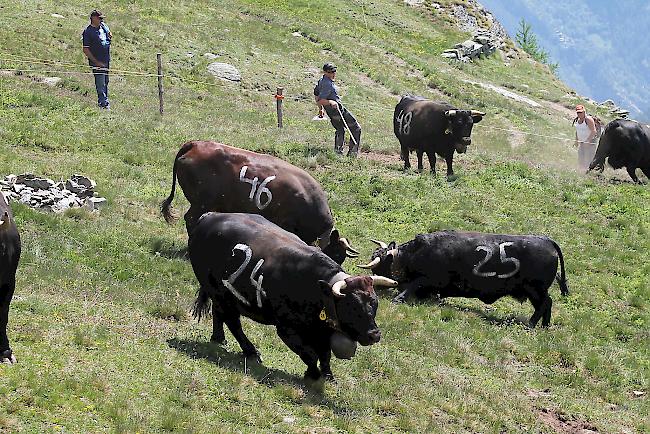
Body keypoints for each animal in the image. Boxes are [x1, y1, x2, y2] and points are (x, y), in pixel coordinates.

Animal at [187, 213, 398, 380]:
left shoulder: (322, 331)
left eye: (375, 303)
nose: (374, 334)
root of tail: (210, 216)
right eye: (352, 306)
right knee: (233, 321)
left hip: (221, 294)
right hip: (219, 293)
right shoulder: (287, 329)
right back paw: (250, 351)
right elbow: (310, 354)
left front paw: (328, 375)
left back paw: (218, 338)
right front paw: (313, 374)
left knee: (219, 313)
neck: (317, 287)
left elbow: (325, 354)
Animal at [360, 232, 568, 328]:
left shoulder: (428, 278)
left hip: (535, 289)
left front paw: (398, 298)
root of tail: (546, 240)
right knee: (547, 304)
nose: (375, 286)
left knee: (545, 304)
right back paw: (544, 326)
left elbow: (412, 285)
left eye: (378, 263)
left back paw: (531, 325)